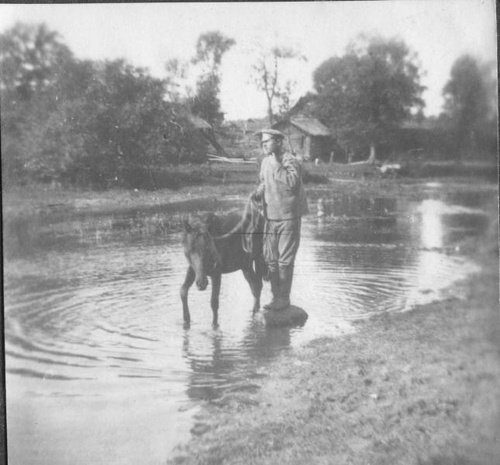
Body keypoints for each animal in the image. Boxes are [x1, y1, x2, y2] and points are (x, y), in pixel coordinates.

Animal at [180, 198, 266, 326]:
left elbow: (214, 302)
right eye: (191, 249)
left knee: (258, 285)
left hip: (259, 258)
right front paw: (186, 319)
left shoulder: (217, 272)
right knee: (255, 286)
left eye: (208, 247)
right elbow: (183, 291)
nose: (201, 283)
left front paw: (214, 325)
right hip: (245, 265)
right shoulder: (192, 268)